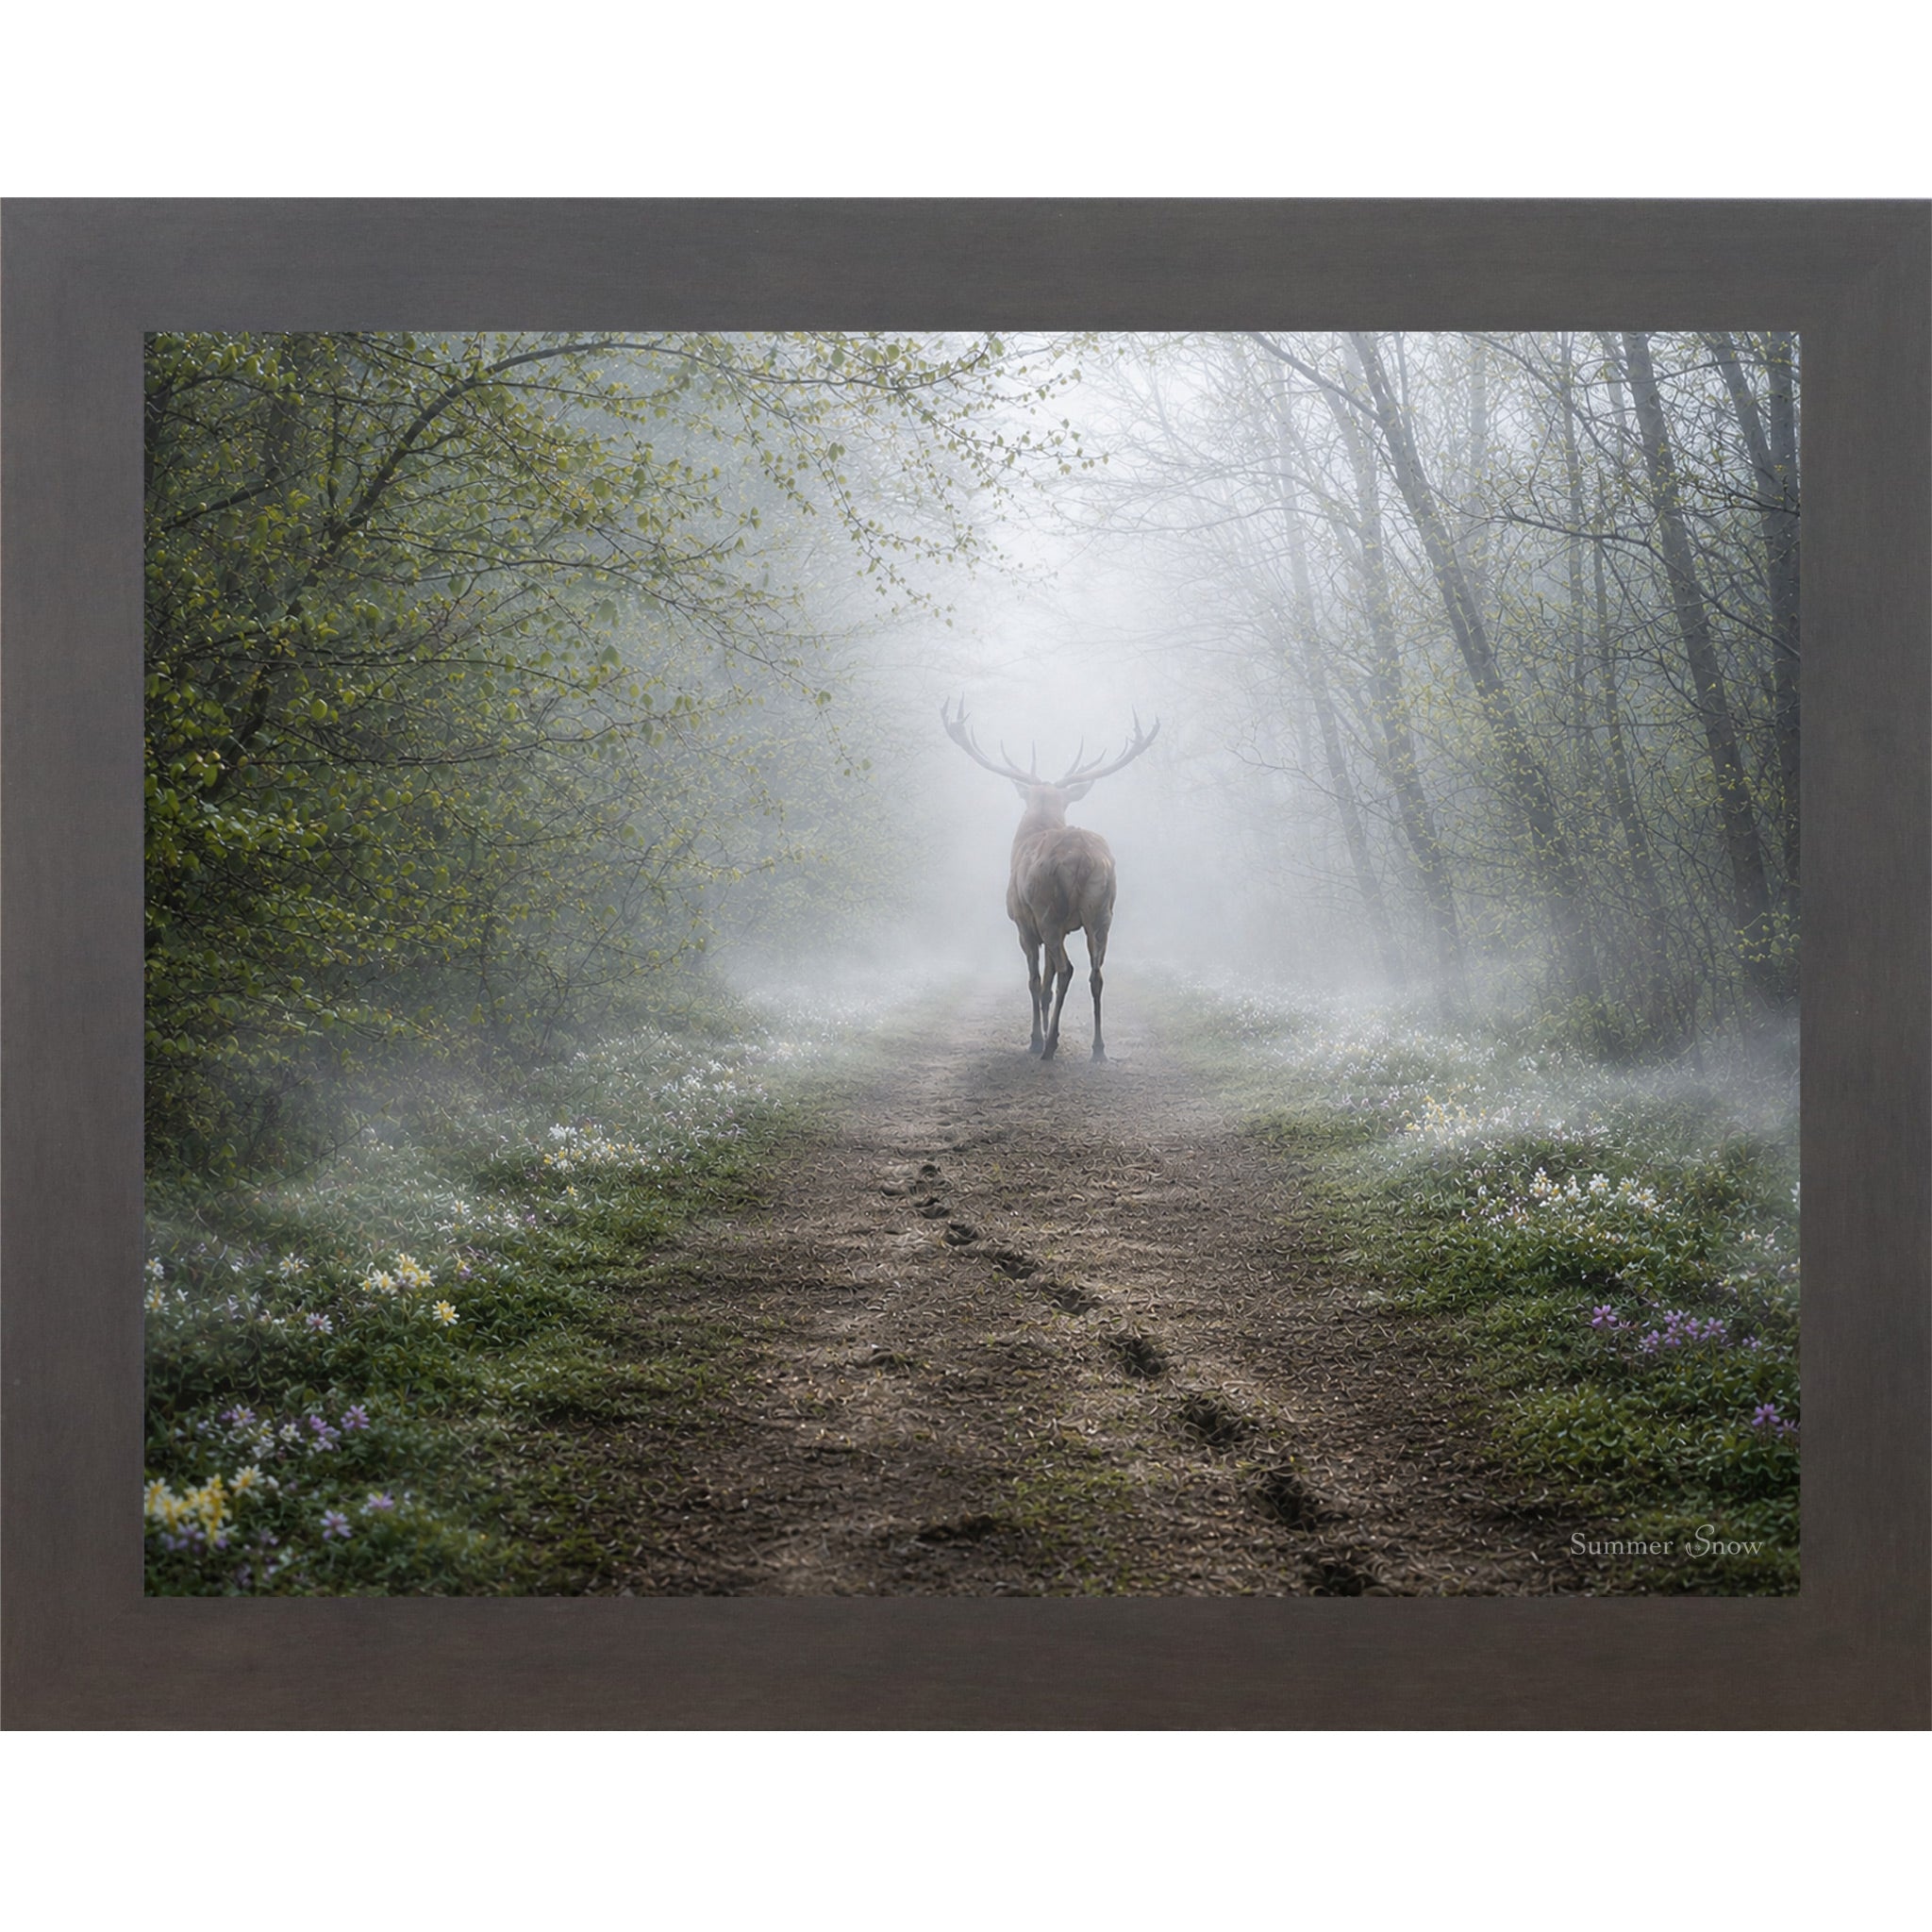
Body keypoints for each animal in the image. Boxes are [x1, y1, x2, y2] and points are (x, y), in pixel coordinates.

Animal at [942, 698, 1160, 1062]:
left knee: (1067, 969)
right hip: (1102, 911)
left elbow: (1034, 981)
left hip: (1048, 911)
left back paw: (1051, 1046)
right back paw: (1098, 1049)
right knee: (1096, 973)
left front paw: (1035, 1038)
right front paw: (1042, 1033)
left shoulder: (1023, 923)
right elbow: (1045, 984)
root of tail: (1084, 857)